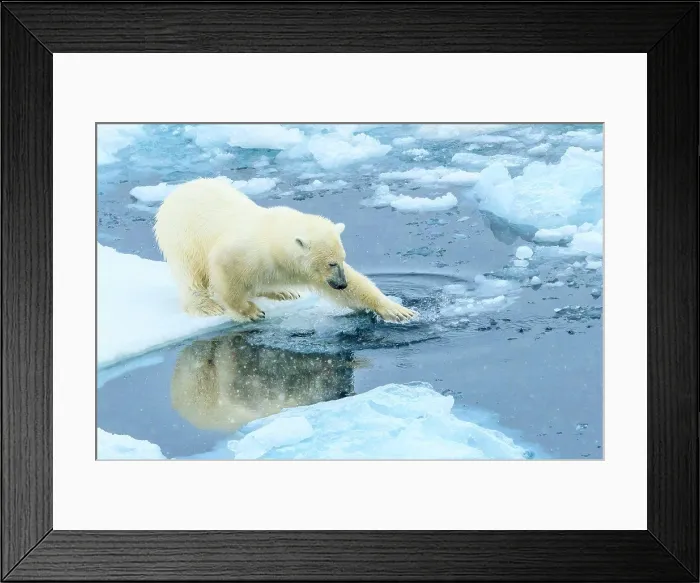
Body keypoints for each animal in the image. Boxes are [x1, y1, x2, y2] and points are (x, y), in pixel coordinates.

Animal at [153, 177, 418, 323]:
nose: (341, 284)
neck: (273, 242)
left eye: (342, 259)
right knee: (189, 272)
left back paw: (284, 292)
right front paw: (249, 311)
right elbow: (225, 270)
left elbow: (357, 286)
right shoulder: (244, 252)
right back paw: (205, 305)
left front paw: (398, 310)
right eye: (331, 263)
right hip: (181, 235)